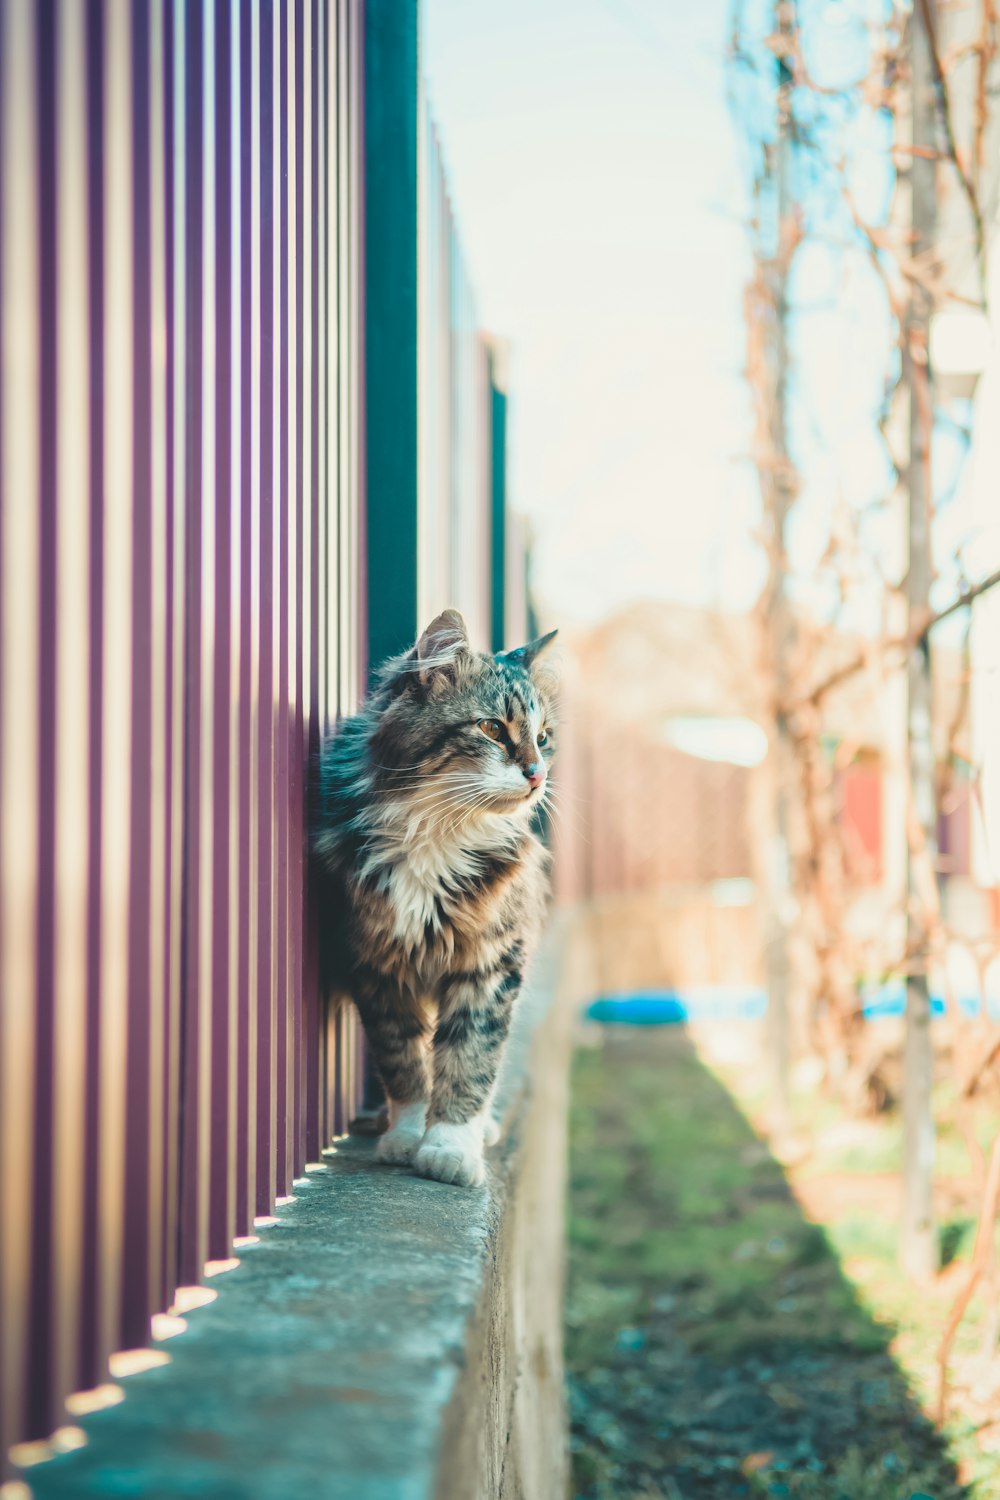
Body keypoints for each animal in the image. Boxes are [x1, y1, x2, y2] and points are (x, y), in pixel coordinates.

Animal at [314, 606, 554, 1182]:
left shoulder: (491, 965)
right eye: (492, 728)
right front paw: (407, 1136)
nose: (538, 775)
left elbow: (470, 1061)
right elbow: (404, 1062)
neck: (437, 833)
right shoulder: (379, 965)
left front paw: (449, 1148)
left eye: (543, 737)